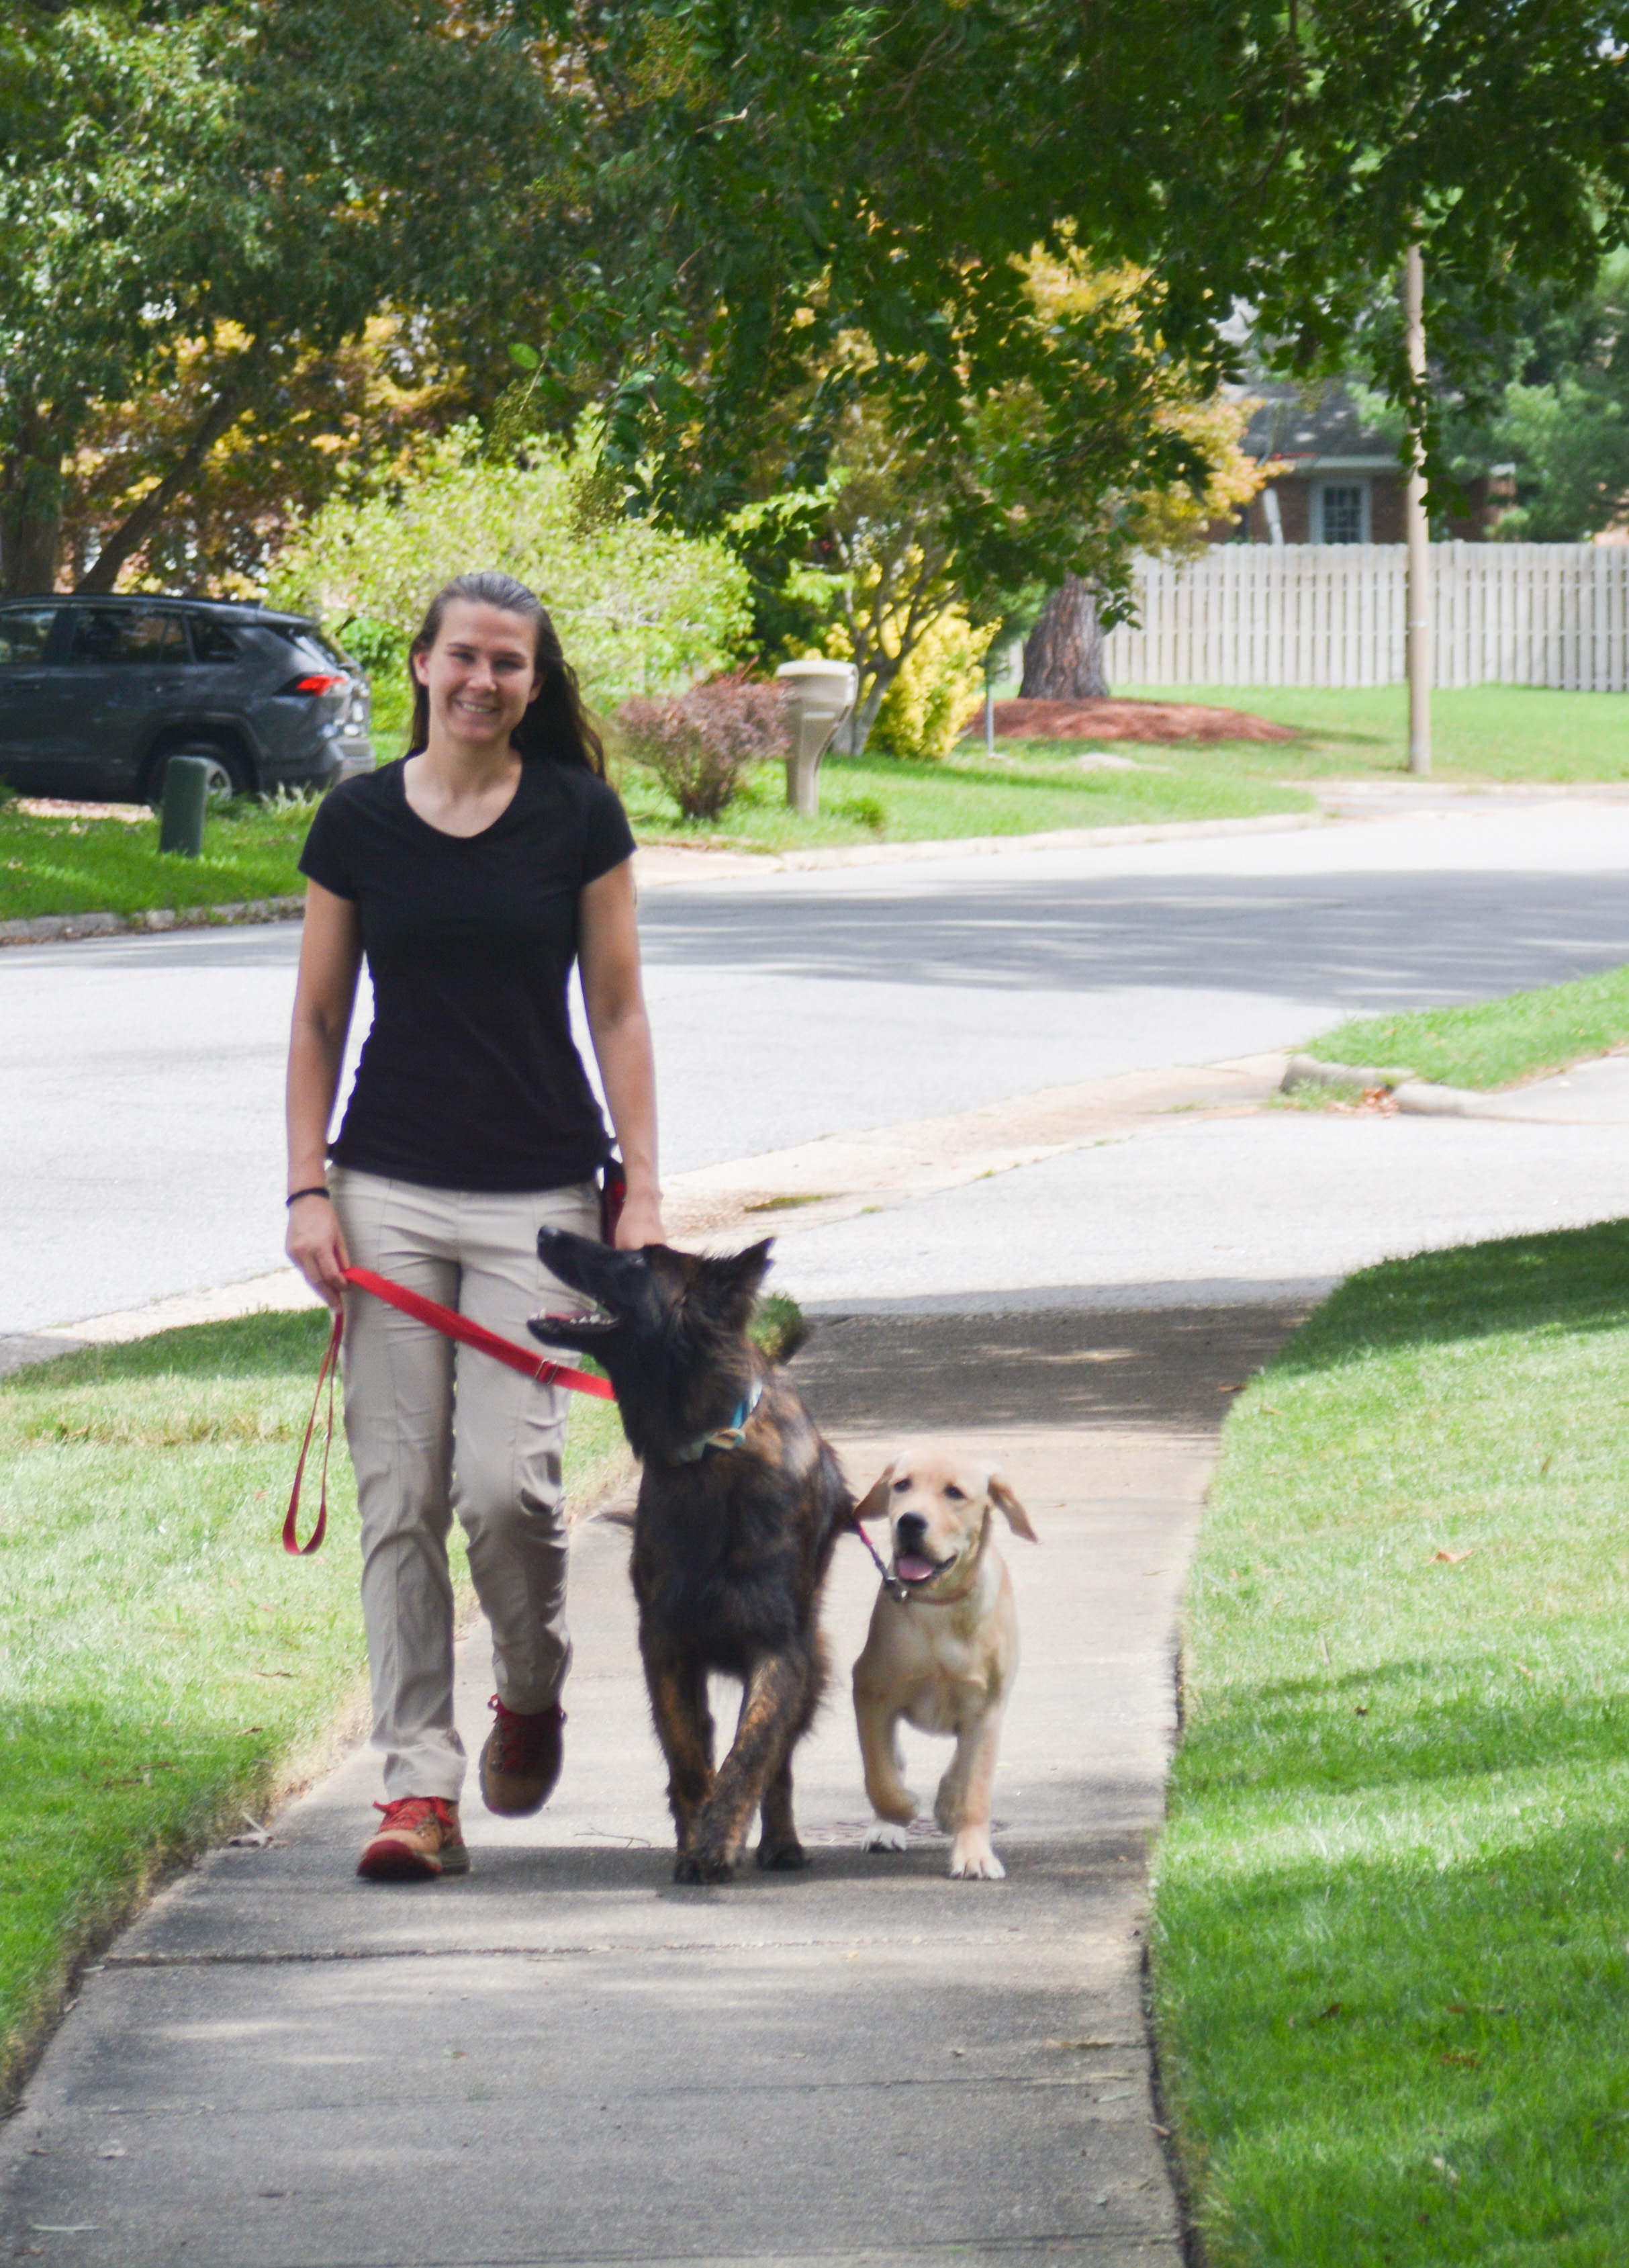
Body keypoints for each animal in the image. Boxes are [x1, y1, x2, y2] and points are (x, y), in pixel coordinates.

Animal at [528, 1234, 853, 1887]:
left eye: (635, 1261)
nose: (547, 1231)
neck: (707, 1448)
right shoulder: (667, 1644)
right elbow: (687, 1755)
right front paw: (695, 1835)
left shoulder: (780, 1648)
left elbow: (750, 1752)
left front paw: (717, 1840)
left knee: (779, 1762)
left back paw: (781, 1840)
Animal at [848, 1451, 1039, 1878]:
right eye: (902, 1485)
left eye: (954, 1493)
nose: (909, 1522)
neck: (940, 1607)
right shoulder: (870, 1692)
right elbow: (878, 1773)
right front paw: (900, 1808)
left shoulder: (986, 1710)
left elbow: (976, 1788)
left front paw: (974, 1854)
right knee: (894, 1761)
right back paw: (887, 1827)